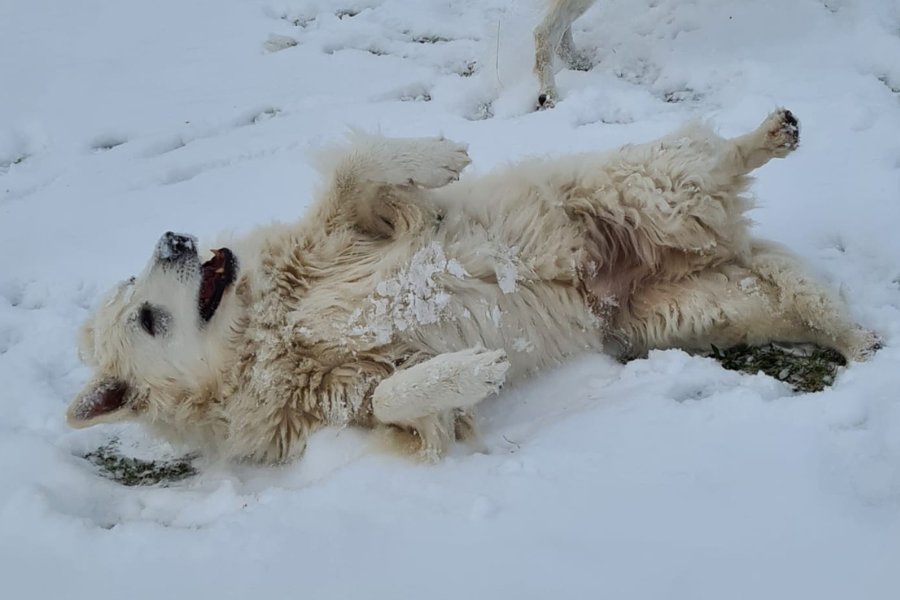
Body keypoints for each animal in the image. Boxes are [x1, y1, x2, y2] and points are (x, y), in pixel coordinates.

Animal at [68, 109, 880, 464]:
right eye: (147, 318)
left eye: (135, 289)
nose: (172, 239)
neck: (269, 329)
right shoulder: (356, 403)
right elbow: (400, 401)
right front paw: (469, 371)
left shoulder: (350, 234)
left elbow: (358, 172)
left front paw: (438, 153)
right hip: (693, 308)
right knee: (793, 305)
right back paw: (856, 341)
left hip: (648, 191)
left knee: (715, 161)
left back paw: (770, 133)